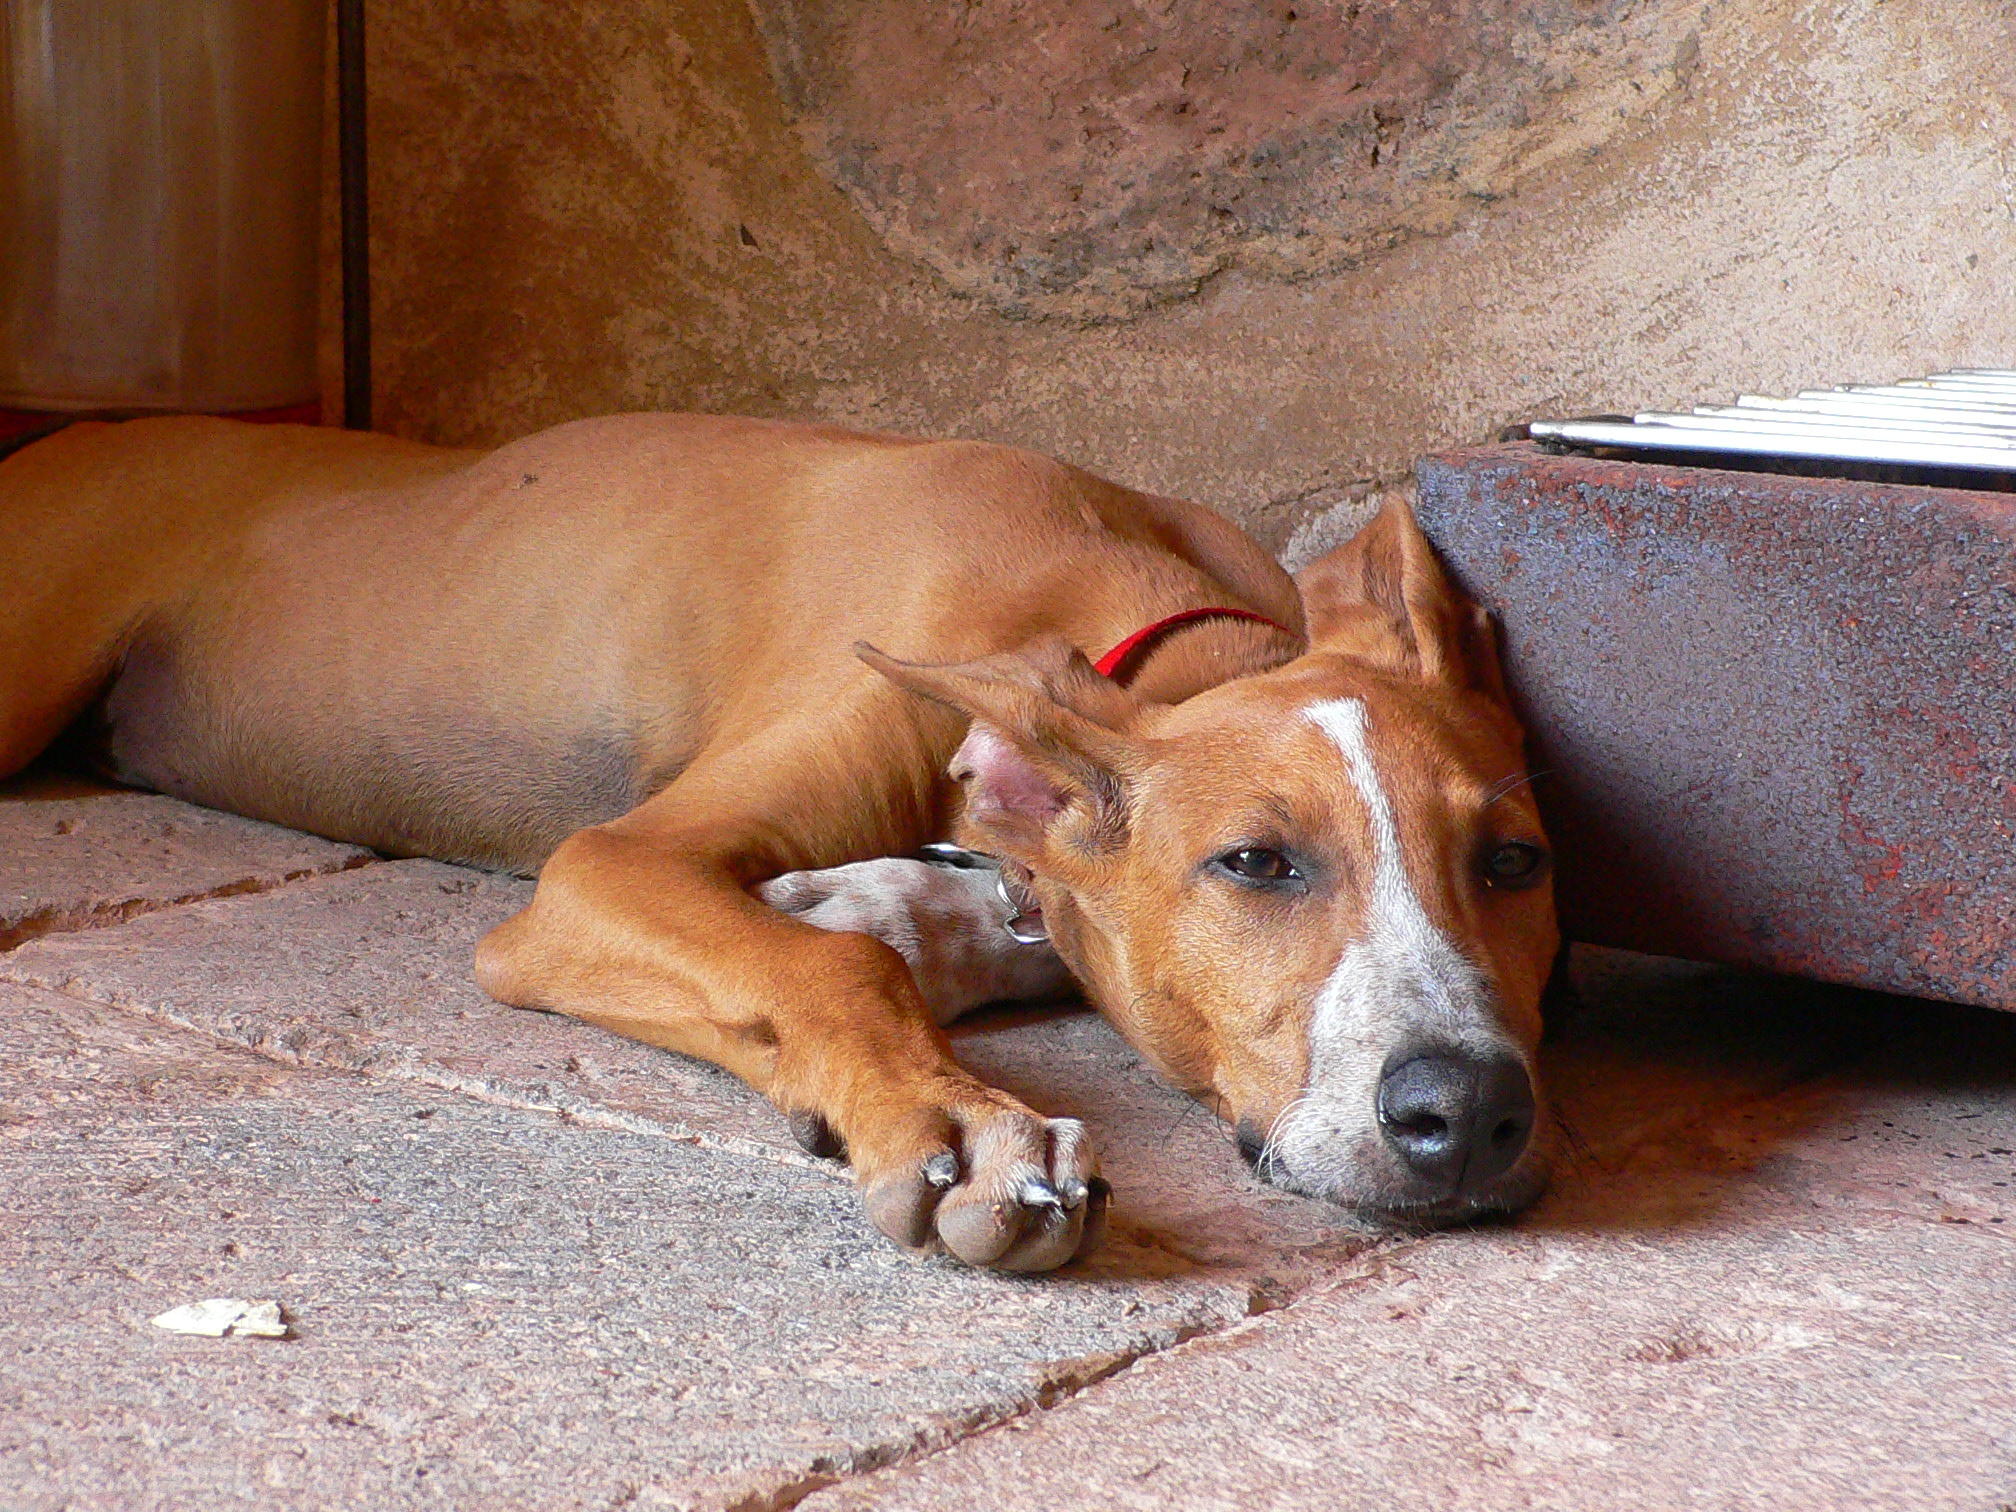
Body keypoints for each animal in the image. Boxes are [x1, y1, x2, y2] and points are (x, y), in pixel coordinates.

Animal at [0, 411, 1556, 1266]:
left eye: (1517, 864)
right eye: (1254, 863)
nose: (1470, 1116)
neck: (1112, 603)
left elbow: (962, 920)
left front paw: (888, 909)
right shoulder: (603, 869)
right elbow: (830, 972)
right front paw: (955, 1121)